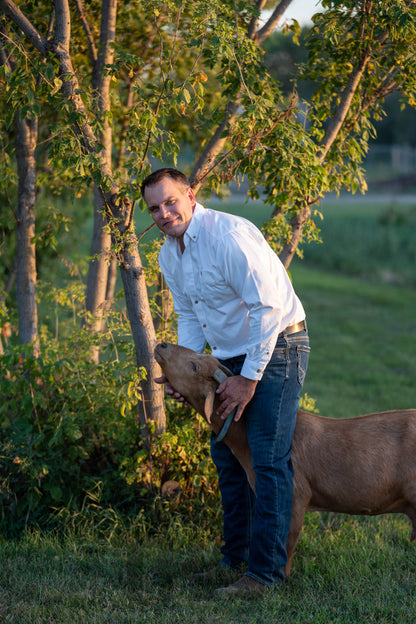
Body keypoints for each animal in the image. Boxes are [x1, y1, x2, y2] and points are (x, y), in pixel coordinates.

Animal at [154, 342, 416, 576]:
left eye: (194, 366)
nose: (162, 345)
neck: (246, 439)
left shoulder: (297, 494)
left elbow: (286, 537)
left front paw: (273, 578)